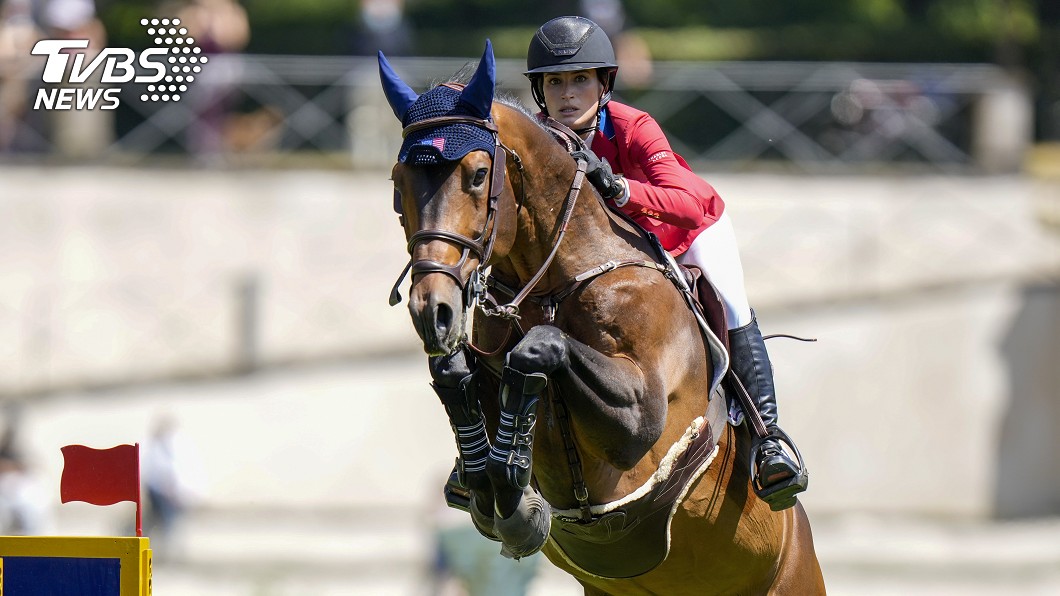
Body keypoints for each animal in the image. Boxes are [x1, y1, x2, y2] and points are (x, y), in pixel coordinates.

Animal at [379, 42, 826, 595]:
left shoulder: (641, 418)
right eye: (398, 184)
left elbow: (540, 348)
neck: (553, 280)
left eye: (479, 175)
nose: (432, 311)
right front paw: (497, 486)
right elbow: (456, 374)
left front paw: (513, 489)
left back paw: (777, 464)